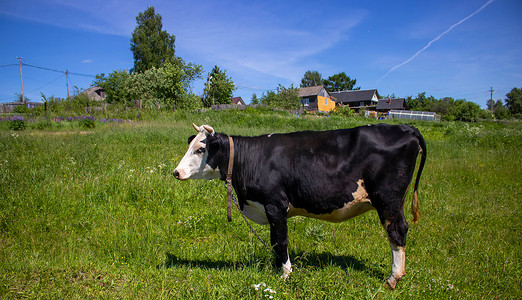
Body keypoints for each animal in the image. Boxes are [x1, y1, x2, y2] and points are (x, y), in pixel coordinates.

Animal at [173, 123, 424, 290]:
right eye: (191, 146)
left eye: (200, 149)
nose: (176, 172)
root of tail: (404, 127)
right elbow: (274, 241)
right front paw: (277, 268)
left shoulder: (276, 205)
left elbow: (281, 240)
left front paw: (285, 274)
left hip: (389, 200)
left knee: (397, 231)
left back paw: (393, 279)